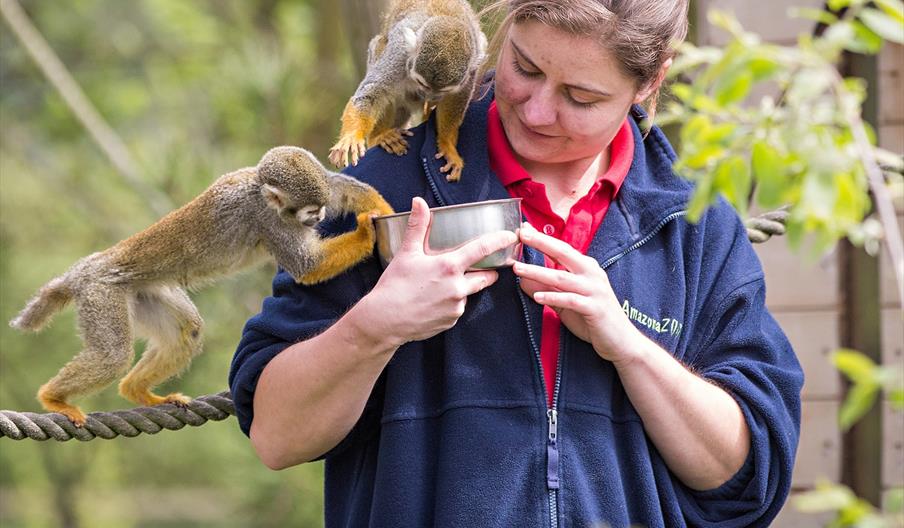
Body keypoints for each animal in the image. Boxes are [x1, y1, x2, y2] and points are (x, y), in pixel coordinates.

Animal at [8, 145, 394, 424]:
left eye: (320, 208)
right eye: (310, 212)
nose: (320, 217)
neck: (261, 192)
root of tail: (85, 267)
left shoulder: (317, 186)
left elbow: (343, 188)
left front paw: (383, 209)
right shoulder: (267, 220)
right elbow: (307, 266)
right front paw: (365, 231)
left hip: (142, 290)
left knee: (188, 329)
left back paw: (137, 391)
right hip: (100, 292)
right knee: (112, 355)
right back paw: (54, 398)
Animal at [328, 0, 488, 182]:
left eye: (442, 90)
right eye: (422, 84)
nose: (430, 96)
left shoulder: (472, 65)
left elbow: (456, 99)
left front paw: (447, 145)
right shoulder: (400, 53)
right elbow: (372, 93)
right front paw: (351, 137)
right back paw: (379, 136)